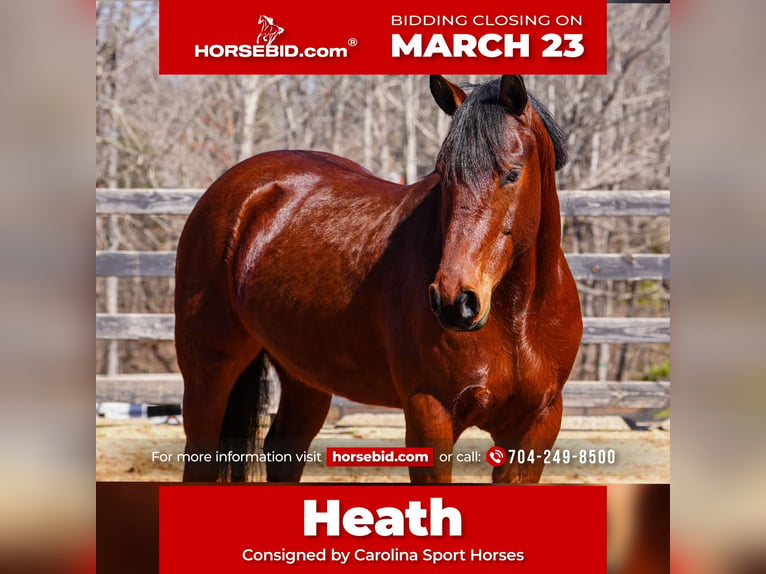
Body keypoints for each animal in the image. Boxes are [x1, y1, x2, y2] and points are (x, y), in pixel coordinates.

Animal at [175, 75, 583, 483]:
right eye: (443, 175)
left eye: (512, 173)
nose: (454, 301)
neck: (516, 317)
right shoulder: (429, 415)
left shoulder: (536, 425)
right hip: (209, 375)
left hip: (305, 379)